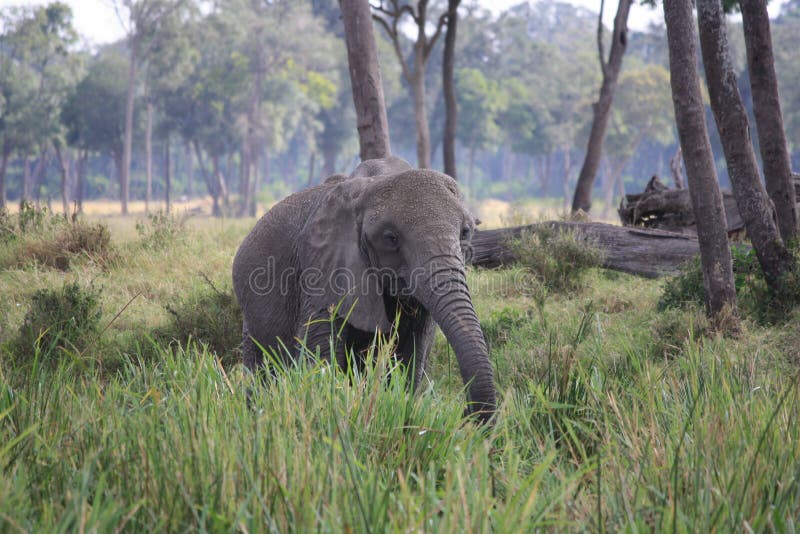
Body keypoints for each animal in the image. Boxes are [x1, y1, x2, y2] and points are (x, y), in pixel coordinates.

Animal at [232, 157, 496, 422]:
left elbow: (409, 359)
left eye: (465, 232)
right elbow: (320, 354)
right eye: (391, 238)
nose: (466, 412)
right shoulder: (322, 267)